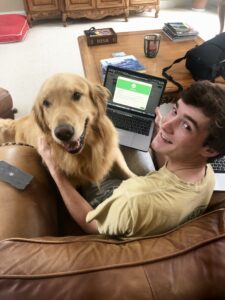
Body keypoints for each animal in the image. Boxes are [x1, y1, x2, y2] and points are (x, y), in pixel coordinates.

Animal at [0, 73, 135, 186]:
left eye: (77, 95)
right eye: (46, 103)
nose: (63, 133)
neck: (86, 150)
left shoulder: (113, 152)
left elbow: (130, 174)